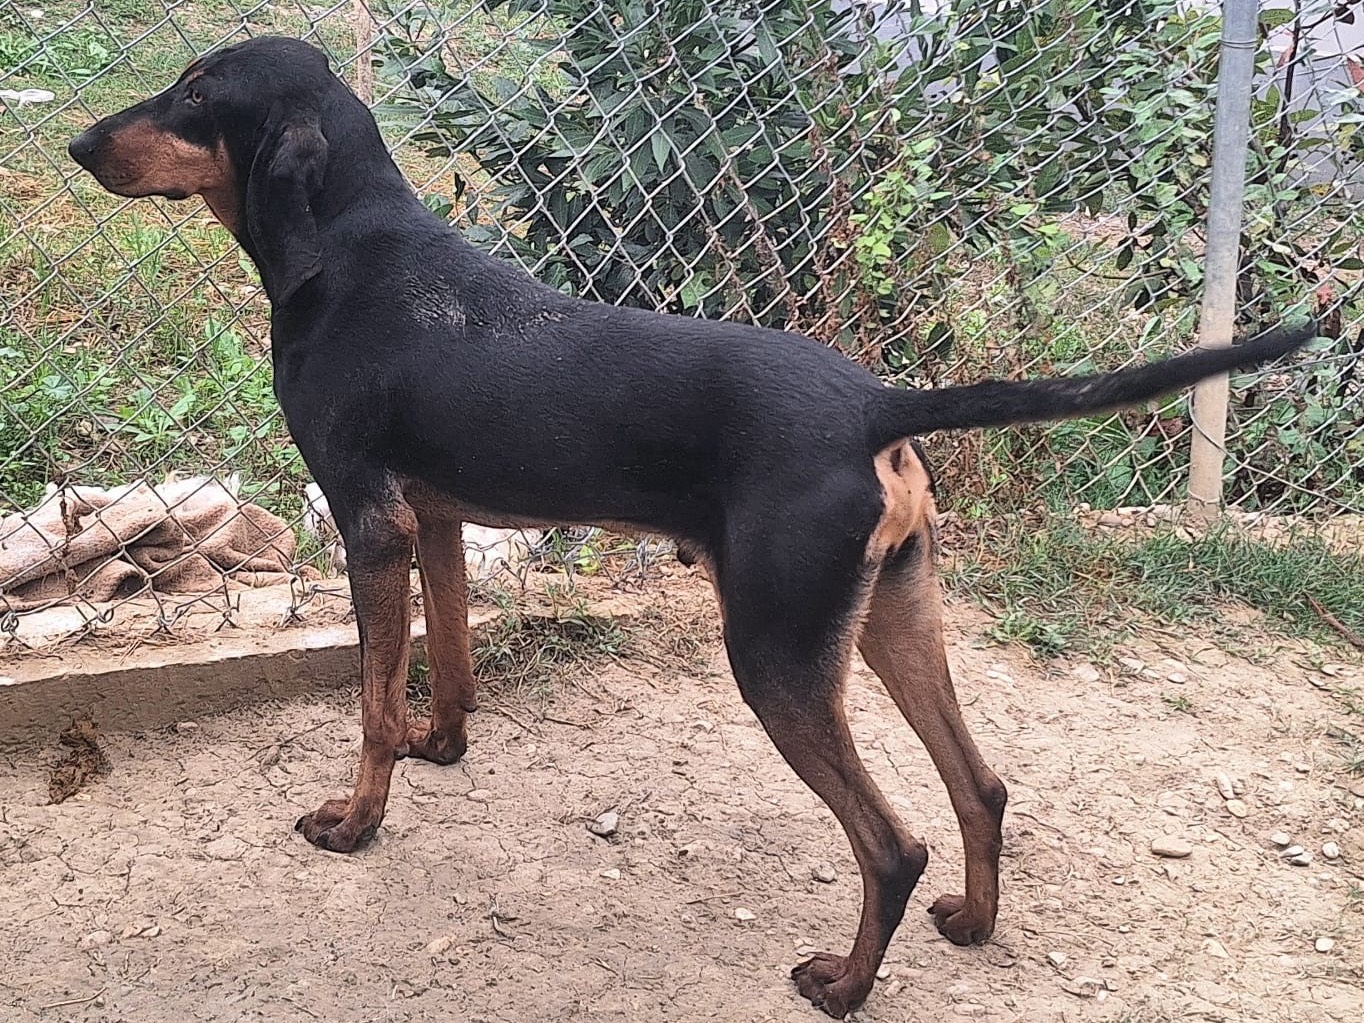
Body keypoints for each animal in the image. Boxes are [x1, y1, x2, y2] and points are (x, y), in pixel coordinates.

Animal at [71, 38, 1309, 1020]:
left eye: (196, 93)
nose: (81, 144)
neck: (352, 250)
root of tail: (875, 406)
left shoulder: (366, 525)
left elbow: (371, 705)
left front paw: (356, 822)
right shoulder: (436, 522)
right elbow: (451, 664)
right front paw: (444, 749)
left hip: (773, 655)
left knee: (890, 843)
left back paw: (843, 986)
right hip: (889, 620)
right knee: (980, 786)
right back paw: (970, 922)